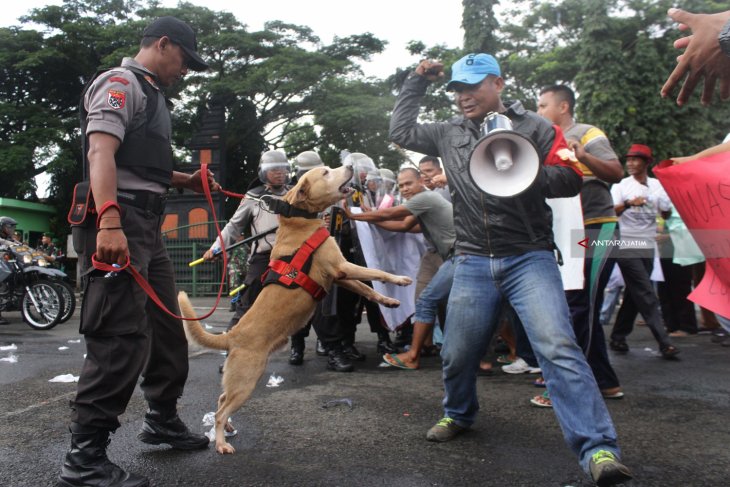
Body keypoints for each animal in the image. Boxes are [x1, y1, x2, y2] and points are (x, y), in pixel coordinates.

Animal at [178, 166, 410, 456]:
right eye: (326, 172)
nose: (350, 167)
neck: (300, 220)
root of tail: (231, 335)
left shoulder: (340, 276)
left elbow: (368, 290)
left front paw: (389, 302)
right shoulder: (342, 267)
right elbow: (378, 272)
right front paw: (401, 280)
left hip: (239, 382)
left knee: (221, 399)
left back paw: (229, 427)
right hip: (246, 381)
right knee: (220, 412)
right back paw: (221, 442)